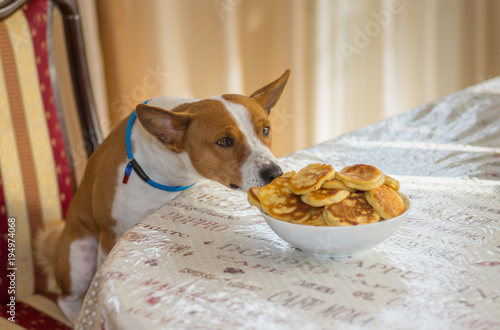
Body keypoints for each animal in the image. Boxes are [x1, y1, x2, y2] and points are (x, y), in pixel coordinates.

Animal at [35, 69, 292, 324]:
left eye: (265, 130)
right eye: (225, 141)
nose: (274, 173)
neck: (172, 172)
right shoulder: (109, 236)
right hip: (79, 255)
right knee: (66, 298)